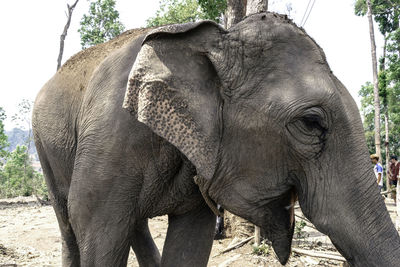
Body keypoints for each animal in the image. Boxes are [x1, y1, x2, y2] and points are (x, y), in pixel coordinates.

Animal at [32, 12, 400, 267]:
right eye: (311, 123)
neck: (214, 39)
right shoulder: (111, 137)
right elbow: (97, 231)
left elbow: (192, 239)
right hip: (44, 146)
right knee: (70, 226)